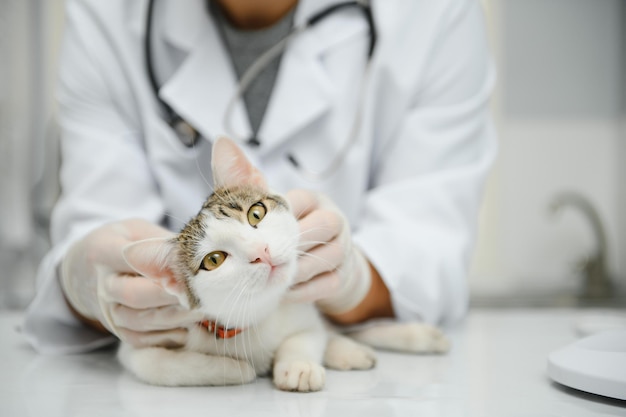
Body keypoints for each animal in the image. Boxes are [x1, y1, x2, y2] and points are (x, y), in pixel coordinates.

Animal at [118, 136, 448, 390]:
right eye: (214, 260)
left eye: (256, 213)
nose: (260, 251)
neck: (257, 316)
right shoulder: (136, 351)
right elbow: (161, 366)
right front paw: (232, 368)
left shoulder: (301, 312)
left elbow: (306, 335)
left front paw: (298, 364)